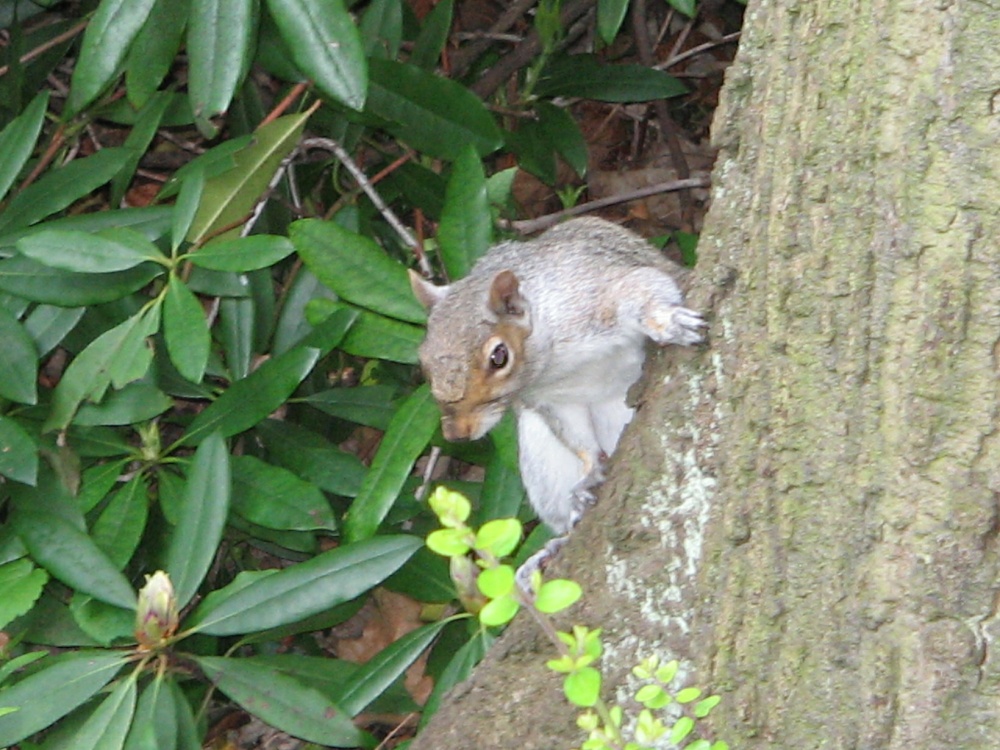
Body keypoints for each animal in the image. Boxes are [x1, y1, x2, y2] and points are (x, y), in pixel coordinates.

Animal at [409, 216, 706, 541]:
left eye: (499, 356)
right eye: (422, 359)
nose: (456, 435)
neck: (549, 367)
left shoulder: (590, 296)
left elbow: (643, 285)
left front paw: (666, 321)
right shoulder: (551, 402)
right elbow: (578, 441)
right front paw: (589, 471)